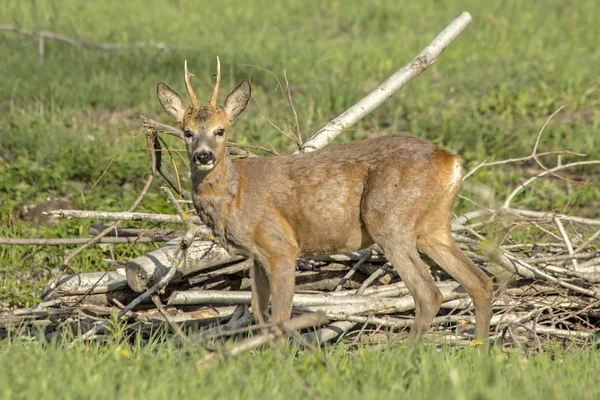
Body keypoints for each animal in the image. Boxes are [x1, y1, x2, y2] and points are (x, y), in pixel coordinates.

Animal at [157, 60, 494, 346]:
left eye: (221, 130)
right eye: (187, 132)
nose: (203, 155)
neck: (235, 193)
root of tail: (452, 161)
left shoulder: (281, 245)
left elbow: (279, 316)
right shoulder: (256, 255)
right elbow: (260, 311)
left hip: (390, 221)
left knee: (428, 293)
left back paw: (404, 353)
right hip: (433, 227)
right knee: (480, 281)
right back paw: (480, 352)